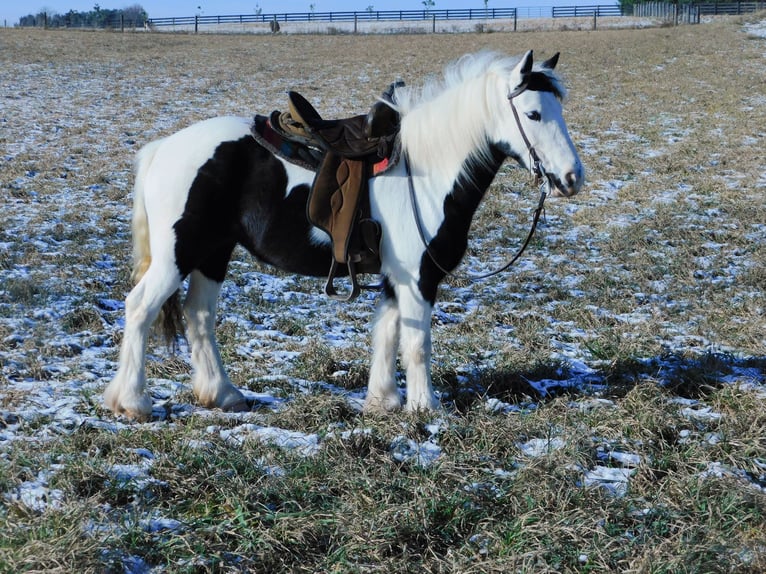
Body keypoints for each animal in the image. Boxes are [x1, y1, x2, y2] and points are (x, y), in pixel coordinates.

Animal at [105, 50, 584, 424]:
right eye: (533, 113)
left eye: (560, 109)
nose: (572, 178)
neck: (427, 167)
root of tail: (163, 149)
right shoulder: (418, 277)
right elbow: (417, 342)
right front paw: (426, 408)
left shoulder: (394, 277)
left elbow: (386, 332)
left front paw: (383, 401)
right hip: (179, 253)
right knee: (141, 308)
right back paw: (133, 402)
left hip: (213, 253)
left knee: (199, 315)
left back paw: (222, 394)